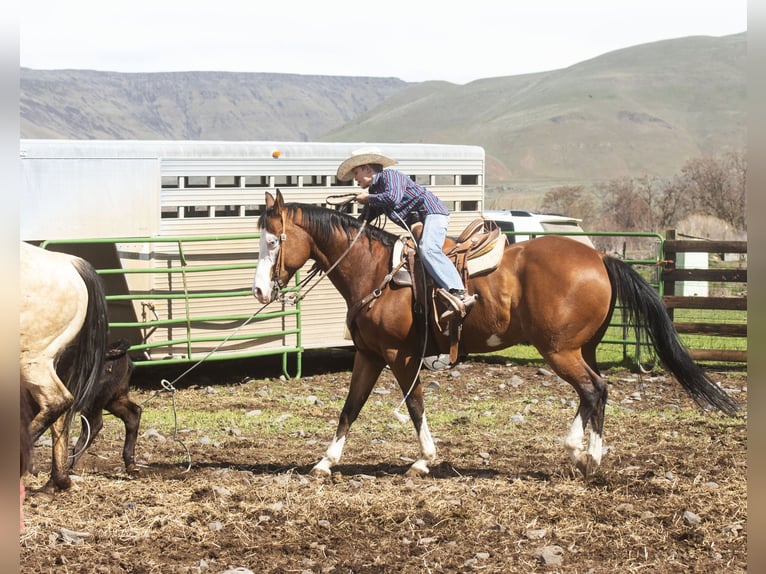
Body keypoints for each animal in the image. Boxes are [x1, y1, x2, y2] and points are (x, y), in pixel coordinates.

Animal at [255, 191, 740, 480]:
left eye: (274, 241)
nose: (260, 290)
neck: (376, 271)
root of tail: (600, 258)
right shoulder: (369, 355)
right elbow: (349, 408)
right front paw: (325, 462)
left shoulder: (399, 356)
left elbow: (414, 407)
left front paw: (424, 461)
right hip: (583, 348)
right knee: (594, 391)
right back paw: (580, 451)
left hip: (559, 351)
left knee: (594, 389)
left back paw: (588, 457)